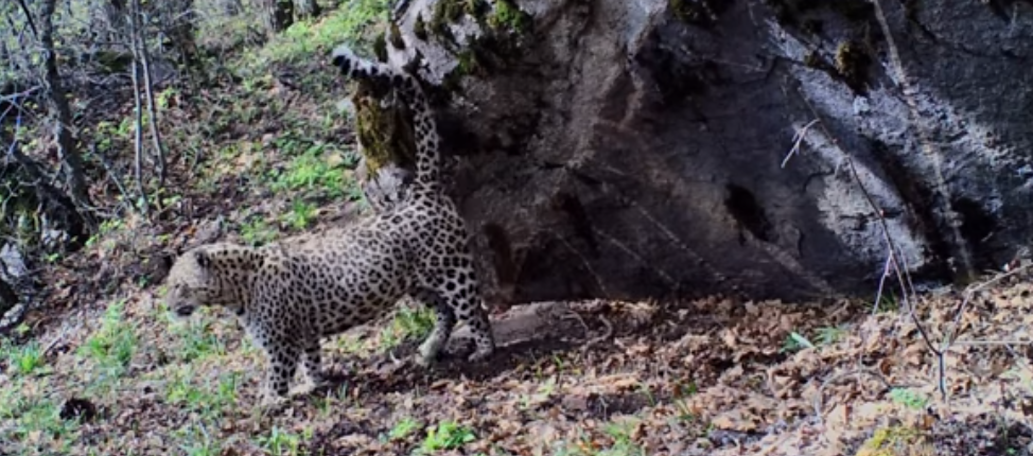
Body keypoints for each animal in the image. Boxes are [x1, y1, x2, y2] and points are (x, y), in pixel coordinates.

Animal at [161, 43, 496, 407]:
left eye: (179, 285)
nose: (169, 308)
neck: (236, 289)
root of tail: (420, 192)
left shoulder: (281, 342)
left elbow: (276, 374)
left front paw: (269, 402)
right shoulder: (304, 334)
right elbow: (311, 359)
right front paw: (312, 384)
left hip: (452, 272)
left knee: (473, 310)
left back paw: (484, 350)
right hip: (418, 283)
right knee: (446, 312)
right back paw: (428, 350)